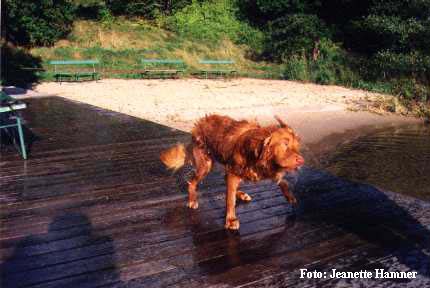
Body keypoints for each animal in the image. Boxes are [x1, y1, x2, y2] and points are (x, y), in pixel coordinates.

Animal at [160, 115, 304, 230]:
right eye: (285, 144)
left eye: (297, 146)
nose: (301, 160)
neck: (257, 151)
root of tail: (200, 123)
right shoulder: (233, 173)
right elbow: (230, 200)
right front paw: (230, 220)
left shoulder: (265, 170)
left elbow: (283, 181)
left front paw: (289, 196)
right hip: (205, 165)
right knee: (192, 183)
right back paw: (192, 200)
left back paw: (240, 194)